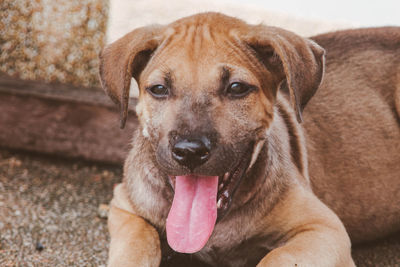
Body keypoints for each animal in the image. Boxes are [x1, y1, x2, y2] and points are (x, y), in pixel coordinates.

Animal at [98, 11, 398, 266]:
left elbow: (276, 257)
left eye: (237, 88)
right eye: (159, 89)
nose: (190, 151)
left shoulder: (323, 229)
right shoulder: (125, 205)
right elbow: (137, 243)